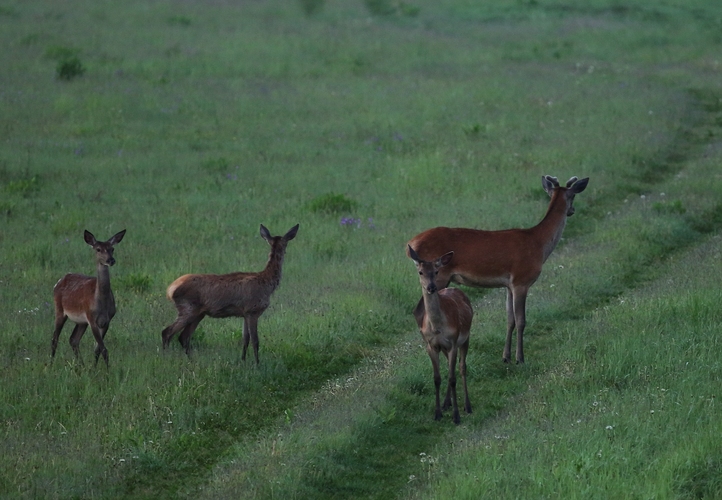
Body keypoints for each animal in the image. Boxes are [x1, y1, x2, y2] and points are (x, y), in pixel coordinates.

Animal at [51, 230, 127, 368]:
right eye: (98, 249)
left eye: (112, 248)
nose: (111, 260)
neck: (101, 304)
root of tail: (59, 281)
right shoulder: (92, 319)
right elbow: (104, 349)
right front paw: (107, 370)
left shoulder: (107, 320)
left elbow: (98, 349)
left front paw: (94, 368)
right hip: (59, 309)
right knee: (55, 338)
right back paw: (50, 364)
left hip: (81, 321)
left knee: (73, 339)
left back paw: (81, 366)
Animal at [161, 225, 298, 362]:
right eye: (286, 243)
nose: (286, 252)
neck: (267, 283)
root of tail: (170, 289)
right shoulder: (253, 311)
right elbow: (255, 341)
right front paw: (257, 363)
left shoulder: (245, 313)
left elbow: (245, 339)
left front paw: (243, 360)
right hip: (188, 308)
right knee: (167, 332)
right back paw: (166, 357)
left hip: (198, 313)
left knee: (183, 337)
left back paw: (190, 360)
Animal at [404, 175, 584, 364]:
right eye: (573, 196)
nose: (572, 210)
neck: (539, 245)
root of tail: (411, 244)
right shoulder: (521, 280)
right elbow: (521, 320)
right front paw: (520, 358)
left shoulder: (509, 285)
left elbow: (510, 320)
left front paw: (506, 356)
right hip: (437, 277)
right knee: (418, 309)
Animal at [404, 244, 472, 424]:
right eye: (420, 272)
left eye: (436, 271)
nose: (431, 287)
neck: (436, 327)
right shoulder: (431, 345)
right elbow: (437, 378)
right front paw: (437, 413)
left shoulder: (453, 342)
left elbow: (452, 378)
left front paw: (456, 416)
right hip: (445, 348)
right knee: (450, 367)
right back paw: (446, 403)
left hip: (466, 337)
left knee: (462, 368)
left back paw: (467, 406)